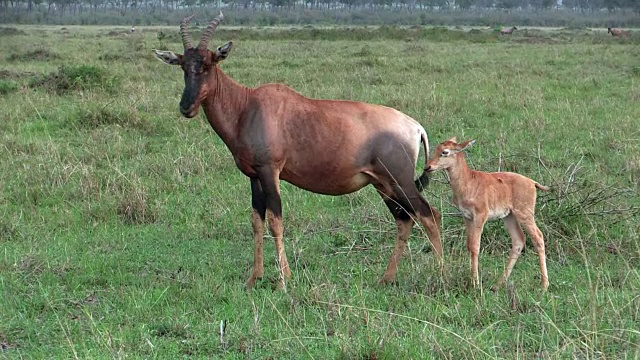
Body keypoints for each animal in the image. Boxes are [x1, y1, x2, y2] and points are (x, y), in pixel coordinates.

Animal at [154, 13, 442, 290]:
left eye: (208, 64)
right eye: (183, 66)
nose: (186, 107)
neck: (247, 106)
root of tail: (415, 127)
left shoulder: (270, 171)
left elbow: (275, 221)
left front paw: (284, 281)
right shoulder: (254, 175)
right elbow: (257, 221)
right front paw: (254, 279)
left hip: (399, 181)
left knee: (429, 214)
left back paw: (441, 275)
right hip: (382, 184)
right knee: (404, 219)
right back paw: (386, 279)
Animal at [424, 136, 552, 292]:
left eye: (445, 151)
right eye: (436, 148)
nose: (427, 167)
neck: (469, 180)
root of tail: (532, 183)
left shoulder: (480, 216)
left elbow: (475, 247)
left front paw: (475, 284)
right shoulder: (467, 217)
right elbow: (469, 246)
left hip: (524, 214)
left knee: (538, 237)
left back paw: (544, 285)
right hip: (509, 217)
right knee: (518, 240)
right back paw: (497, 285)